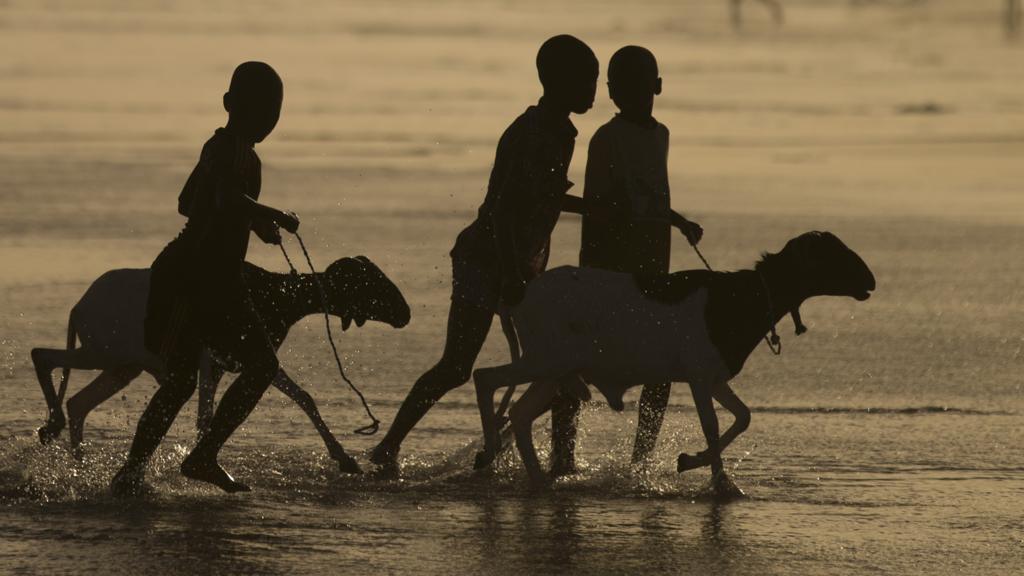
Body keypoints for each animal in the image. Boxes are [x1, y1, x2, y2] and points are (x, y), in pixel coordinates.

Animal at [30, 255, 407, 471]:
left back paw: (79, 462)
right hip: (100, 352)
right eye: (368, 282)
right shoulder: (215, 361)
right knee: (42, 356)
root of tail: (79, 307)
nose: (405, 313)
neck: (275, 295)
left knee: (79, 402)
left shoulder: (251, 360)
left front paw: (344, 457)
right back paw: (53, 426)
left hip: (121, 365)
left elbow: (303, 397)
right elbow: (205, 416)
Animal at [471, 230, 872, 491]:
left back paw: (536, 477)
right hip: (544, 359)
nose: (870, 280)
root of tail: (520, 293)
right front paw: (721, 481)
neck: (743, 298)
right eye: (832, 254)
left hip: (555, 370)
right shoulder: (697, 375)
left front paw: (693, 461)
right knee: (485, 378)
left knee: (519, 412)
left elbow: (743, 416)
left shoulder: (714, 376)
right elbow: (712, 424)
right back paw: (490, 453)